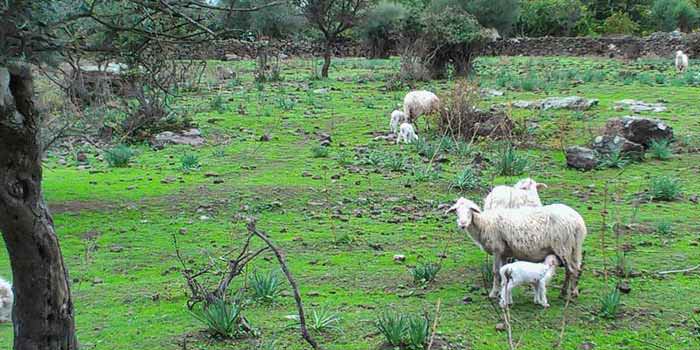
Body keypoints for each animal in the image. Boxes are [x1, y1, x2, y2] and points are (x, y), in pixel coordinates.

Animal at [446, 198, 588, 300]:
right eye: (456, 211)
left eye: (470, 210)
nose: (462, 224)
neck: (484, 223)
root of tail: (579, 222)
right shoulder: (504, 253)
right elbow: (503, 272)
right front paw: (502, 292)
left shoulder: (497, 249)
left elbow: (495, 272)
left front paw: (493, 293)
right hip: (573, 248)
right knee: (574, 269)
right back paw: (570, 292)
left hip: (563, 246)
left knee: (571, 270)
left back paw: (567, 293)